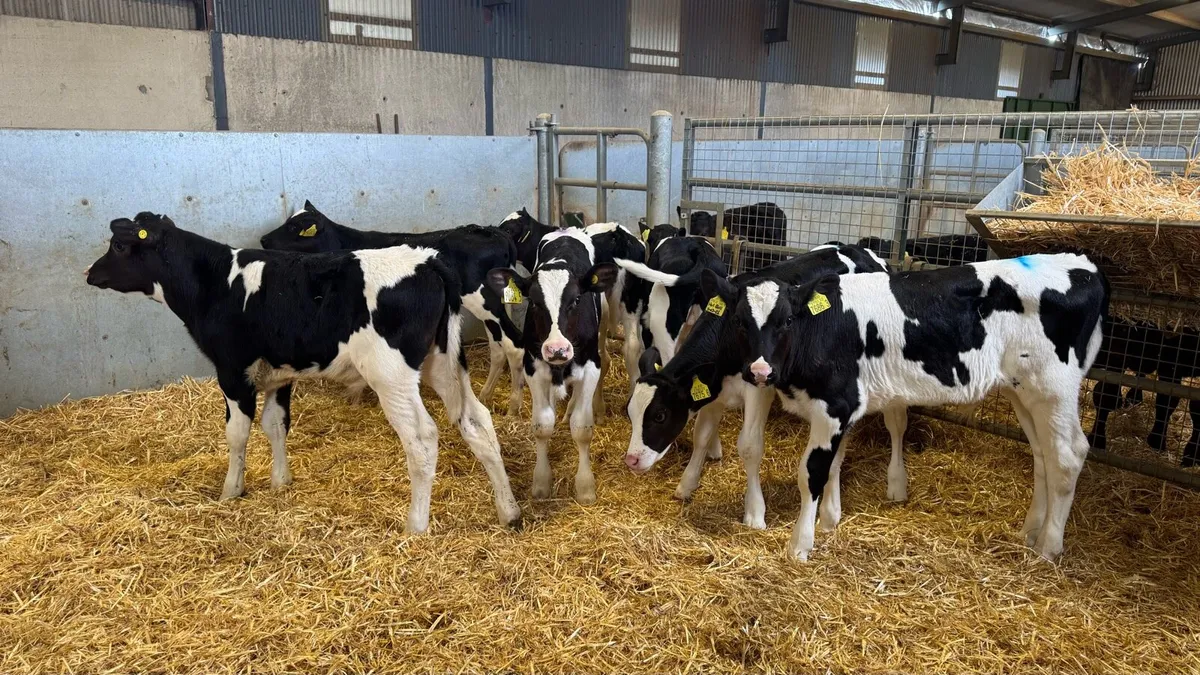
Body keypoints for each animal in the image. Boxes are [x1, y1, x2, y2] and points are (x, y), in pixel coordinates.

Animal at [259, 201, 526, 415]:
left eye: (295, 227)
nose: (263, 239)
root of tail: (494, 232)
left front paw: (356, 392)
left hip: (482, 298)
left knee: (513, 344)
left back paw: (514, 406)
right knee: (498, 346)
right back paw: (486, 395)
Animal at [486, 229, 618, 504]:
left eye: (576, 299)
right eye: (535, 302)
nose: (557, 349)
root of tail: (566, 231)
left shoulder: (590, 367)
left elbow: (582, 428)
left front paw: (585, 486)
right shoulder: (534, 367)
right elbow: (542, 425)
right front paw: (541, 482)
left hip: (601, 332)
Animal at [624, 244, 899, 527]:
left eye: (660, 415)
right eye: (630, 413)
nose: (632, 459)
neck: (726, 338)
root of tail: (860, 250)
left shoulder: (759, 388)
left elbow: (750, 447)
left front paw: (755, 512)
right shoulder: (713, 386)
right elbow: (701, 434)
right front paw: (687, 483)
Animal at [729, 253, 1107, 562]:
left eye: (787, 320)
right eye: (740, 322)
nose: (760, 371)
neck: (822, 328)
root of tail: (1083, 265)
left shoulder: (835, 405)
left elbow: (812, 473)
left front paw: (800, 546)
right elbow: (833, 463)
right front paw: (826, 524)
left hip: (1054, 387)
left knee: (1069, 454)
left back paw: (1049, 546)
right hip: (1023, 391)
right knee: (1043, 455)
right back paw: (1030, 531)